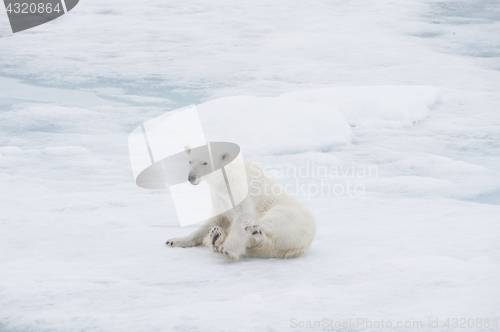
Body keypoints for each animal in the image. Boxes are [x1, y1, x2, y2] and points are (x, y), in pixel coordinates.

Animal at [167, 144, 316, 260]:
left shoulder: (242, 191)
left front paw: (227, 249)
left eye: (205, 162)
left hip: (294, 216)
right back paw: (215, 237)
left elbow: (243, 214)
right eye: (190, 161)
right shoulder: (220, 197)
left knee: (277, 218)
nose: (191, 177)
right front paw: (174, 240)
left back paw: (253, 228)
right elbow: (214, 220)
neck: (226, 179)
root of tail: (304, 245)